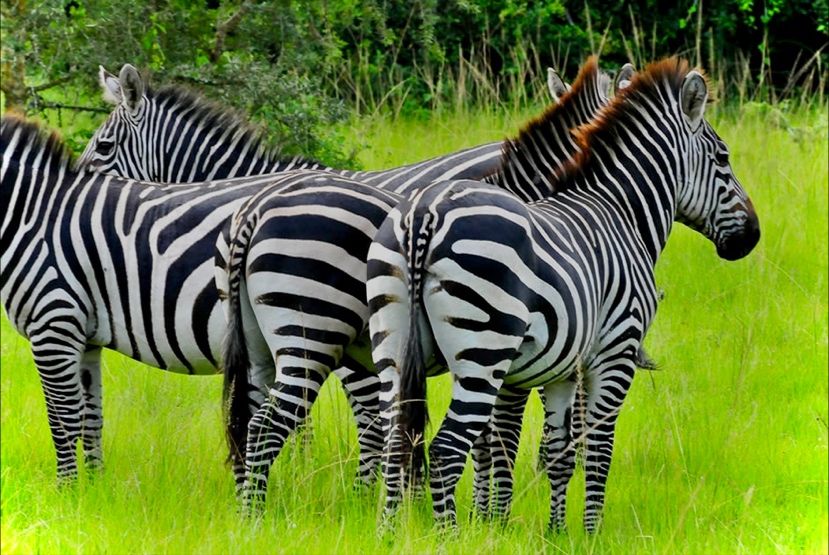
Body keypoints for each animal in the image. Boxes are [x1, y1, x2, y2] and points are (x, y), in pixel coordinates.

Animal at [366, 58, 760, 532]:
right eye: (723, 158)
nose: (752, 236)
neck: (620, 211)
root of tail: (425, 214)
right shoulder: (614, 352)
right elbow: (593, 448)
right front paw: (585, 532)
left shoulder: (557, 366)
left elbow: (553, 451)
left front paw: (549, 531)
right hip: (484, 350)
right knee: (445, 449)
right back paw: (450, 536)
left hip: (393, 344)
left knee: (397, 440)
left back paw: (389, 533)